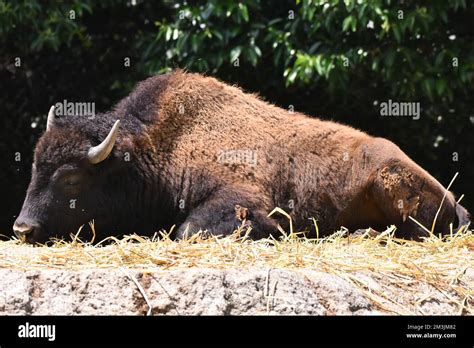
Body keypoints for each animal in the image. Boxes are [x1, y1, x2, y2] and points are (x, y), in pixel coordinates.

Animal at [12, 70, 468, 245]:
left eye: (71, 178)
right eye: (34, 168)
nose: (22, 228)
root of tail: (456, 202)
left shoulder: (242, 200)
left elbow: (188, 230)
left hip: (390, 180)